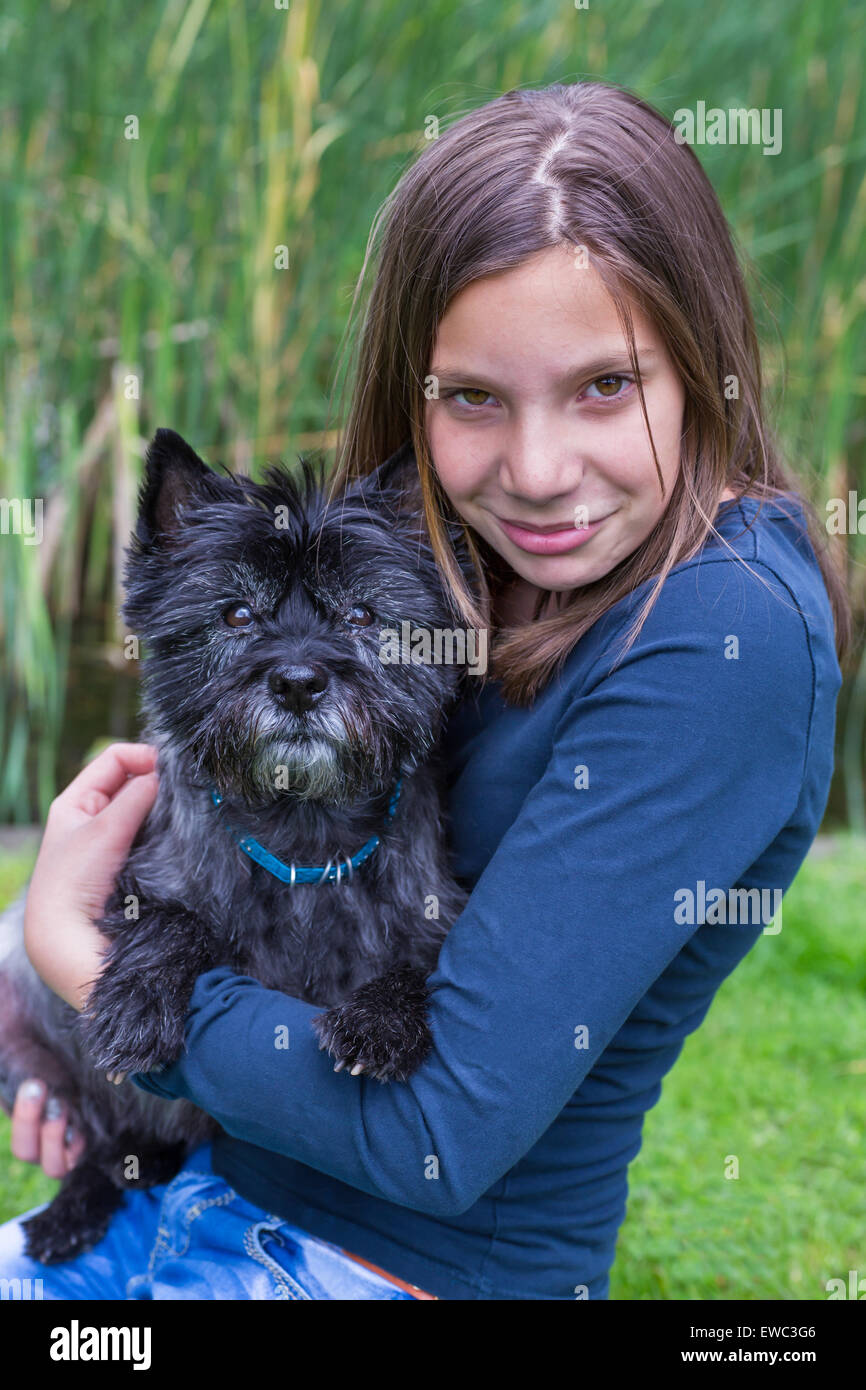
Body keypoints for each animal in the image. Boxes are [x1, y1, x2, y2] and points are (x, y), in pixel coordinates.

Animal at [0, 428, 469, 1267]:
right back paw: (71, 1209)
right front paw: (136, 1004)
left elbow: (419, 962)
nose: (299, 681)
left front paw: (379, 1022)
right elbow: (175, 920)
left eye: (362, 613)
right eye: (236, 612)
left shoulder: (436, 909)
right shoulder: (137, 874)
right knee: (100, 1131)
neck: (303, 830)